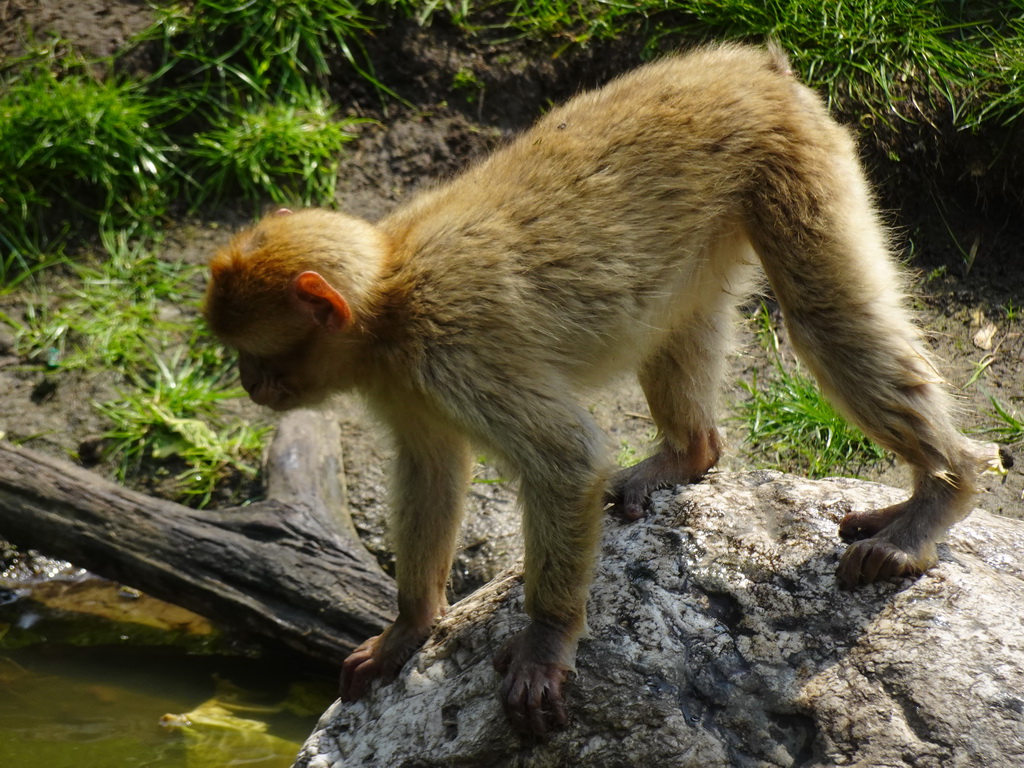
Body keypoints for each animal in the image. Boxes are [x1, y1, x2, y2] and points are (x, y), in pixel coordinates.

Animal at [201, 43, 999, 741]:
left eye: (252, 354)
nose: (246, 382)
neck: (389, 302)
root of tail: (751, 64)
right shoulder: (407, 384)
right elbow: (431, 468)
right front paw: (409, 626)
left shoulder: (454, 351)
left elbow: (567, 461)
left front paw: (545, 642)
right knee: (676, 321)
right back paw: (689, 454)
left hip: (796, 159)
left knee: (825, 319)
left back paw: (942, 493)